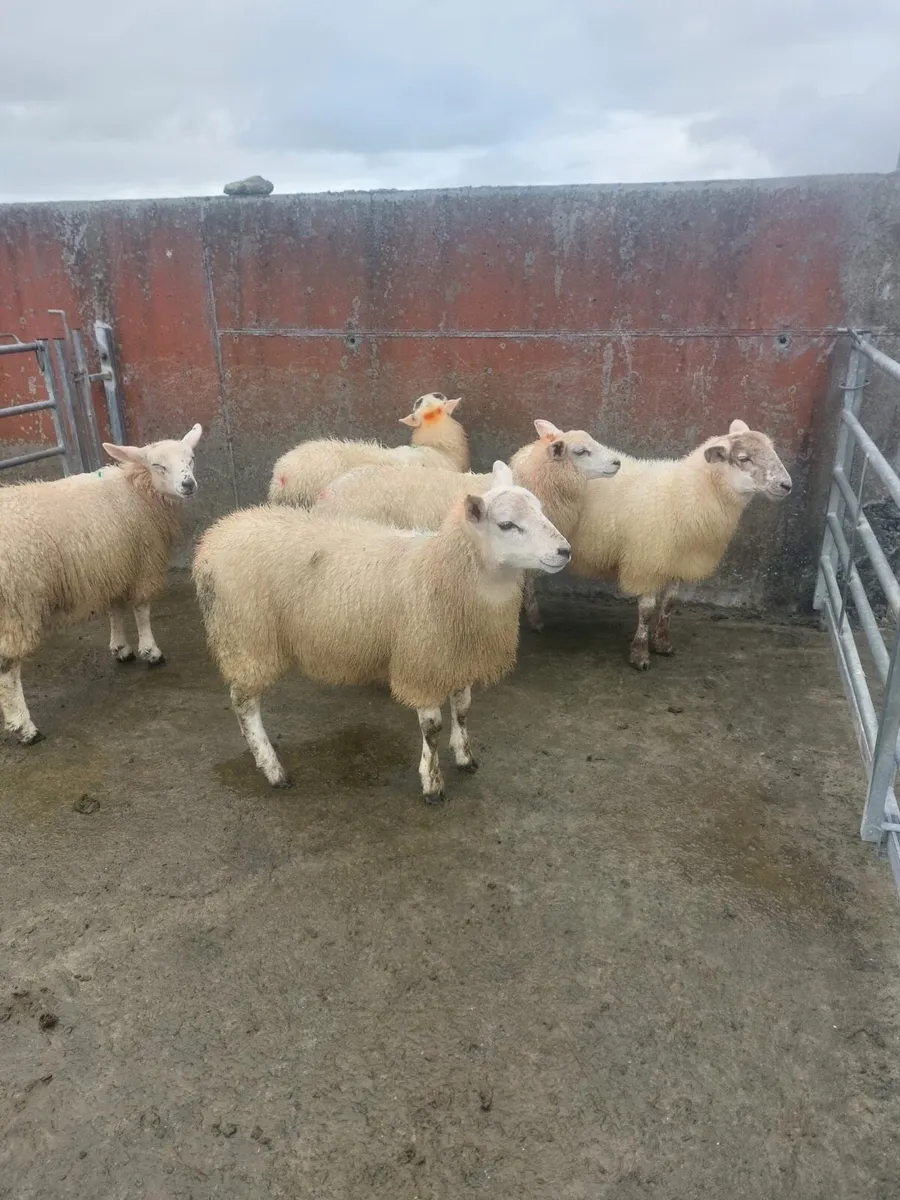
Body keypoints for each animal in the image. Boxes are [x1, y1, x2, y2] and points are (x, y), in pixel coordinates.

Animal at [0, 425, 203, 745]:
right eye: (157, 464)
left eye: (191, 458)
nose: (188, 484)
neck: (136, 490)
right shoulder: (142, 561)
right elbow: (142, 608)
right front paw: (150, 651)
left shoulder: (113, 565)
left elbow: (115, 608)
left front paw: (121, 648)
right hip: (17, 605)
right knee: (8, 671)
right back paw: (24, 727)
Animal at [193, 461, 572, 801]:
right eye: (507, 524)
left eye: (541, 511)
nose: (564, 551)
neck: (443, 569)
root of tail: (214, 536)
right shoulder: (422, 660)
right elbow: (431, 729)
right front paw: (432, 783)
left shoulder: (457, 654)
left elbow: (462, 709)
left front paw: (465, 757)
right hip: (248, 636)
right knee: (244, 705)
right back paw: (272, 768)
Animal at [556, 420, 792, 670]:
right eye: (744, 458)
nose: (787, 485)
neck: (684, 494)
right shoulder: (647, 561)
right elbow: (647, 610)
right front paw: (640, 654)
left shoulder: (677, 562)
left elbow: (669, 605)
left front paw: (662, 644)